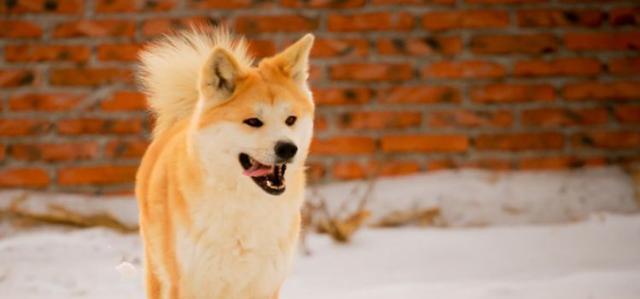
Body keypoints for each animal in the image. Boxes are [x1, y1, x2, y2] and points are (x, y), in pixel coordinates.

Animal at [135, 26, 316, 299]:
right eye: (253, 122)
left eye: (291, 119)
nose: (287, 148)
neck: (246, 206)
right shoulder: (191, 284)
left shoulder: (265, 285)